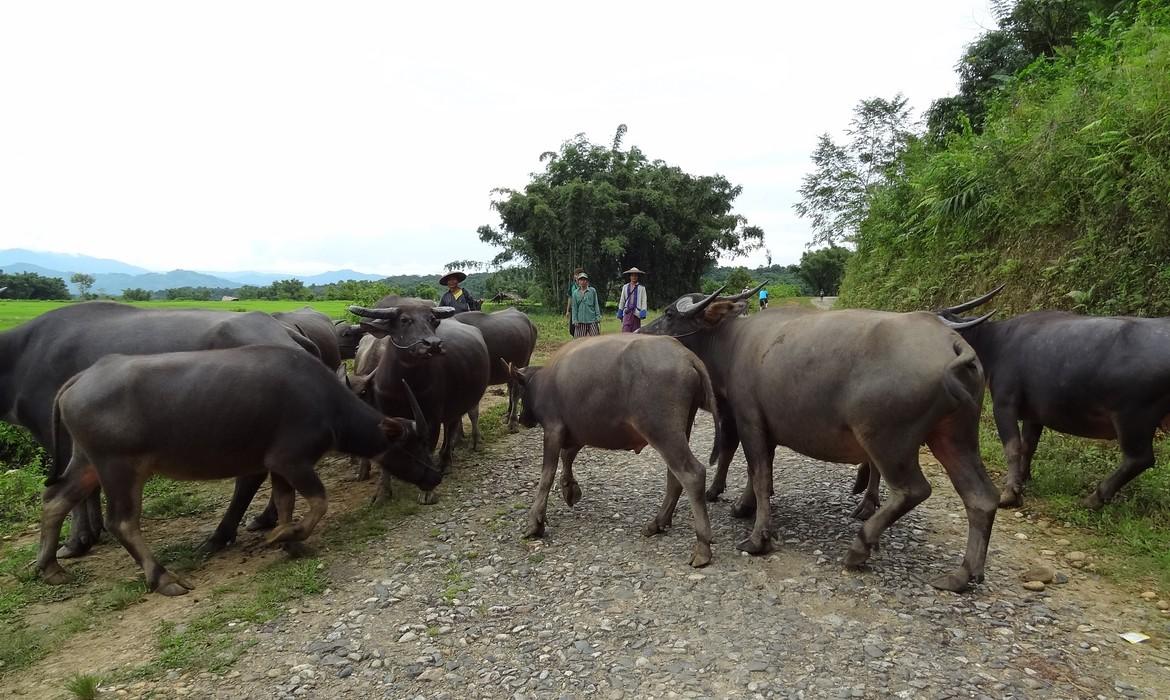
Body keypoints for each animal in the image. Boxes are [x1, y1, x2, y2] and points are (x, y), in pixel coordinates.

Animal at [37, 345, 439, 595]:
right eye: (415, 445)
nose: (435, 476)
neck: (327, 405)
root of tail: (81, 379)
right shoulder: (292, 461)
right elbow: (319, 502)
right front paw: (287, 536)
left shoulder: (277, 467)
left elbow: (286, 502)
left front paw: (289, 540)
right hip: (119, 467)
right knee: (121, 521)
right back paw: (163, 578)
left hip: (87, 461)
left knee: (54, 500)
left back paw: (50, 568)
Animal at [511, 334, 717, 566]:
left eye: (520, 392)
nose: (522, 419)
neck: (544, 381)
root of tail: (686, 356)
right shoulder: (579, 430)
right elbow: (567, 455)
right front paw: (570, 488)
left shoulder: (554, 429)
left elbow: (547, 475)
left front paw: (535, 523)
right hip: (681, 428)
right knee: (675, 476)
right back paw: (657, 523)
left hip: (662, 431)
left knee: (692, 474)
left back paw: (702, 546)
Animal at [640, 286, 999, 592]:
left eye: (670, 313)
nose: (641, 332)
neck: (733, 344)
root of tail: (952, 342)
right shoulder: (766, 428)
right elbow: (760, 473)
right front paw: (744, 506)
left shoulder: (749, 421)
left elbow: (759, 473)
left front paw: (758, 538)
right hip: (956, 437)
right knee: (980, 497)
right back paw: (963, 574)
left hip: (887, 441)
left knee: (913, 490)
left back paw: (859, 546)